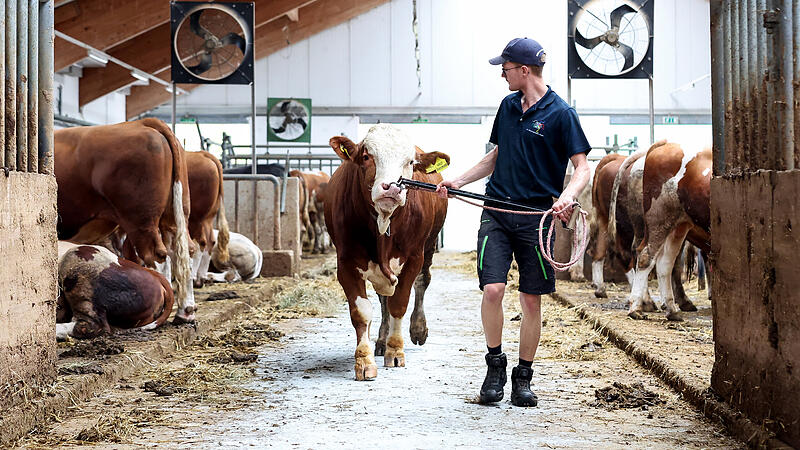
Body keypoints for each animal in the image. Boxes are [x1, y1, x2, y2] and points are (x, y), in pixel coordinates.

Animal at [54, 119, 197, 324]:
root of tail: (141, 123)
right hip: (175, 214)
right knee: (184, 252)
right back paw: (186, 311)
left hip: (141, 223)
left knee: (158, 257)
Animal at [189, 149, 233, 286]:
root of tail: (203, 154)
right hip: (207, 218)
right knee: (210, 241)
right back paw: (201, 278)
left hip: (196, 218)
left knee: (200, 243)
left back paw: (193, 277)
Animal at [324, 125, 450, 382]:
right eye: (366, 156)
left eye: (410, 162)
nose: (392, 187)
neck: (383, 223)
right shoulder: (346, 262)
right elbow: (362, 312)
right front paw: (364, 360)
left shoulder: (414, 258)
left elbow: (398, 305)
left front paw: (395, 351)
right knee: (383, 299)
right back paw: (380, 340)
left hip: (429, 248)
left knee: (422, 283)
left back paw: (417, 329)